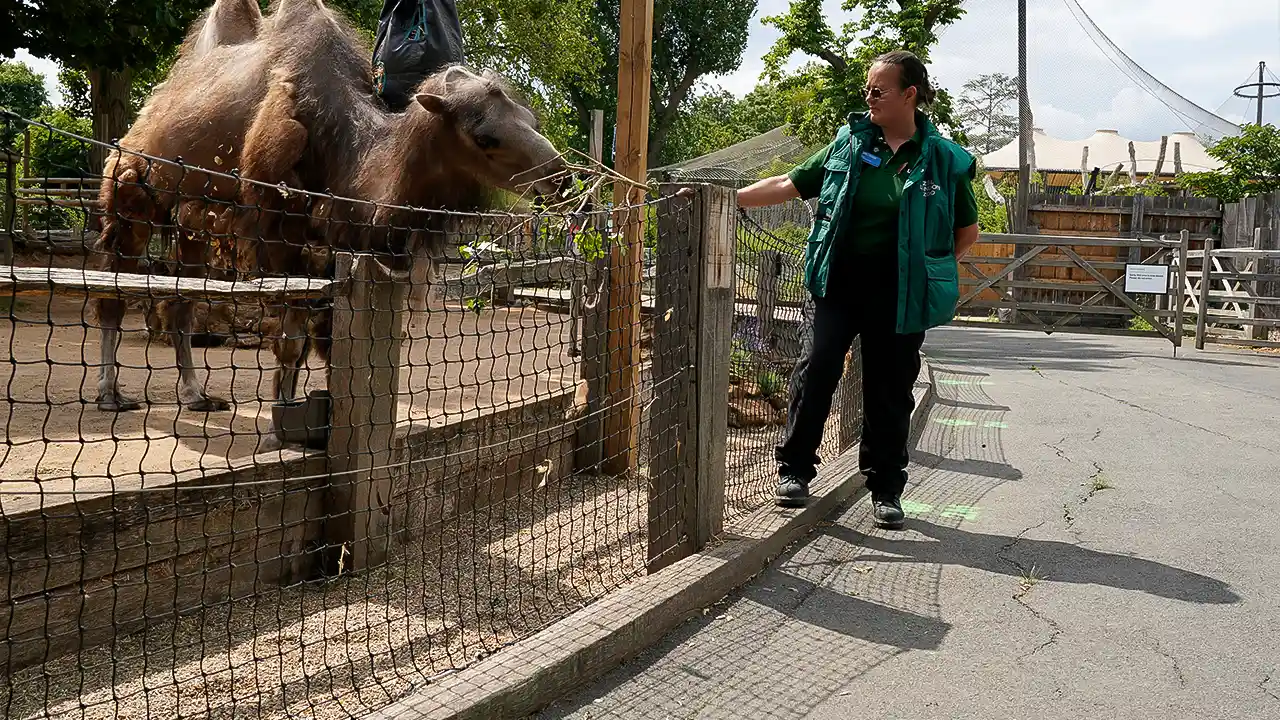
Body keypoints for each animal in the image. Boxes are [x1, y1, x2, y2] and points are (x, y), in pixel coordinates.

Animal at [91, 0, 565, 438]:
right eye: (485, 136)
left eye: (530, 119)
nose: (560, 177)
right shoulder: (275, 234)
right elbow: (291, 340)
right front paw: (280, 426)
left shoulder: (336, 246)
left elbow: (325, 340)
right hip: (132, 193)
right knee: (114, 289)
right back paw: (110, 394)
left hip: (193, 220)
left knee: (181, 301)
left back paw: (195, 395)